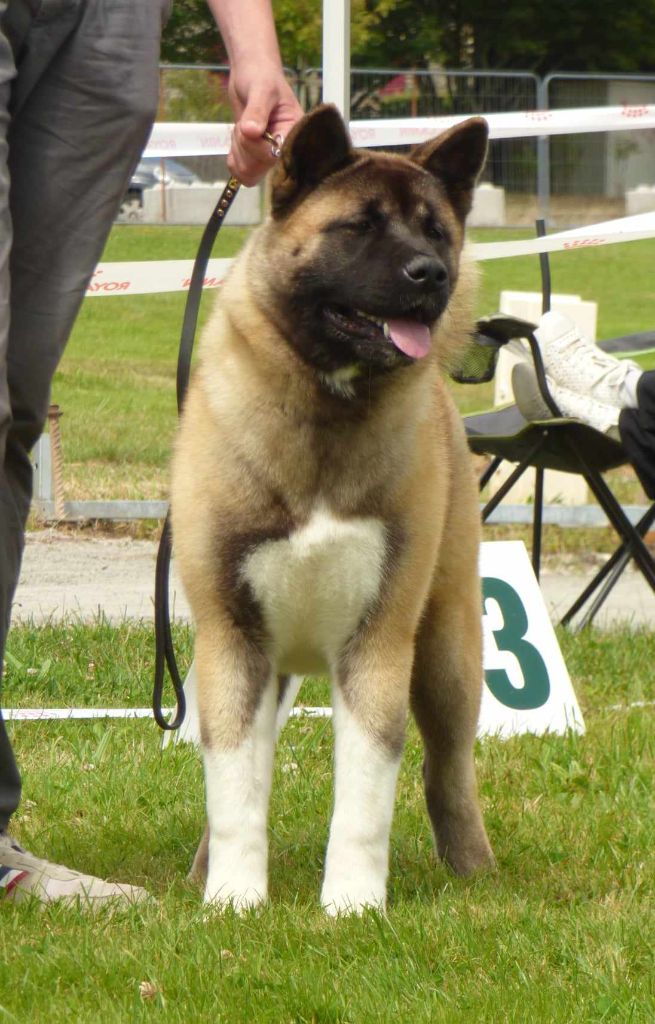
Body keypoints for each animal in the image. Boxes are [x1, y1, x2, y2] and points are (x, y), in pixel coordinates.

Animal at [171, 103, 493, 913]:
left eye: (435, 229)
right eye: (358, 226)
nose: (431, 273)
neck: (325, 406)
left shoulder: (378, 640)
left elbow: (366, 793)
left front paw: (351, 906)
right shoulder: (233, 638)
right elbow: (234, 786)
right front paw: (234, 902)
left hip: (446, 648)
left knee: (448, 769)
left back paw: (473, 870)